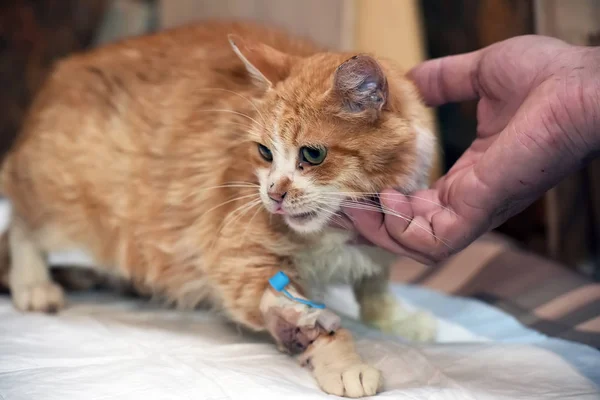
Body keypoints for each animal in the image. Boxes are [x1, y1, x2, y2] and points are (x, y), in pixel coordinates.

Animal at [0, 20, 436, 396]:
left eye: (312, 155)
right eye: (264, 152)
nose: (273, 194)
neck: (332, 233)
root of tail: (63, 73)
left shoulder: (377, 247)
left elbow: (375, 285)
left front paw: (398, 319)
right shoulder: (240, 260)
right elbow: (310, 316)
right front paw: (344, 361)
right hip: (66, 197)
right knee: (21, 225)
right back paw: (33, 284)